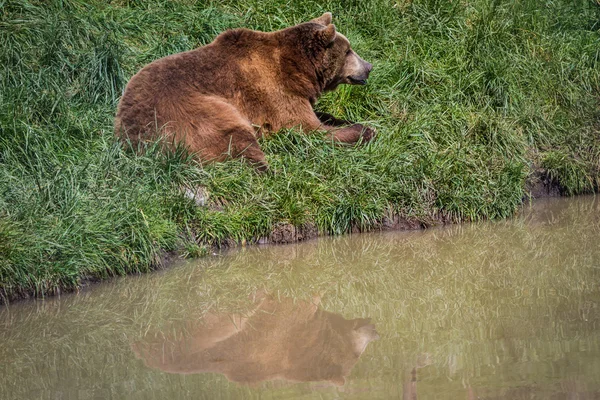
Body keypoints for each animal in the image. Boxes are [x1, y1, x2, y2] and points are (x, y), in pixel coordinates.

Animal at [115, 12, 372, 170]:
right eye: (348, 50)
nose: (369, 66)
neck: (299, 70)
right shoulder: (272, 90)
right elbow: (306, 128)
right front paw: (364, 130)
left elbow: (318, 116)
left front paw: (343, 120)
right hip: (187, 111)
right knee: (234, 135)